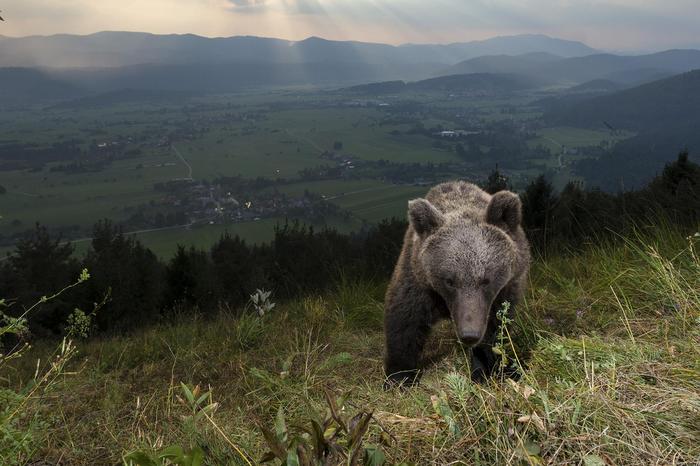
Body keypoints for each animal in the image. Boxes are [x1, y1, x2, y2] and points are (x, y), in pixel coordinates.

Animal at [386, 180, 528, 388]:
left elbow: (495, 330)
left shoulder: (504, 291)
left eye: (486, 280)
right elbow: (405, 321)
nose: (469, 334)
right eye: (450, 280)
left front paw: (487, 370)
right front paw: (399, 377)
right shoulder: (419, 282)